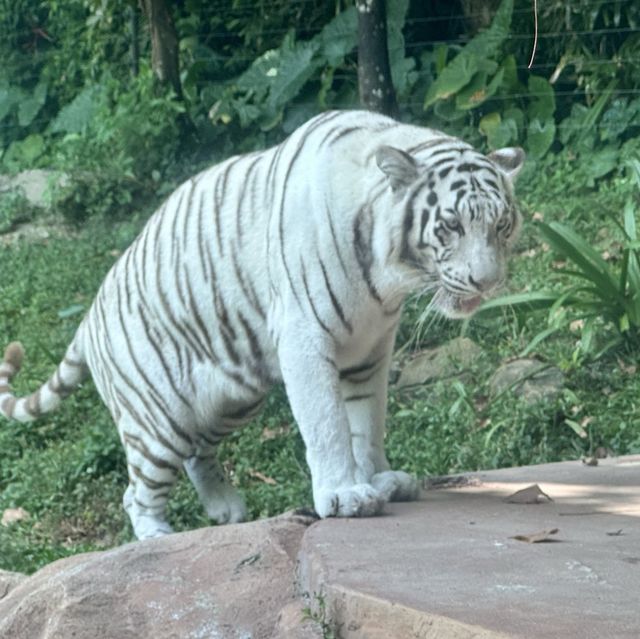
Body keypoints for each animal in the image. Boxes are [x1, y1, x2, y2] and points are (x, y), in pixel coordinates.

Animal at [0, 110, 524, 540]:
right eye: (451, 226)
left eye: (501, 225)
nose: (487, 282)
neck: (388, 282)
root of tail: (89, 316)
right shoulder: (304, 340)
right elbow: (328, 424)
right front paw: (345, 494)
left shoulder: (372, 351)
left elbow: (366, 422)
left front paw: (380, 479)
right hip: (158, 419)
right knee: (138, 490)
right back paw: (157, 536)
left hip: (233, 396)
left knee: (197, 453)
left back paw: (226, 509)